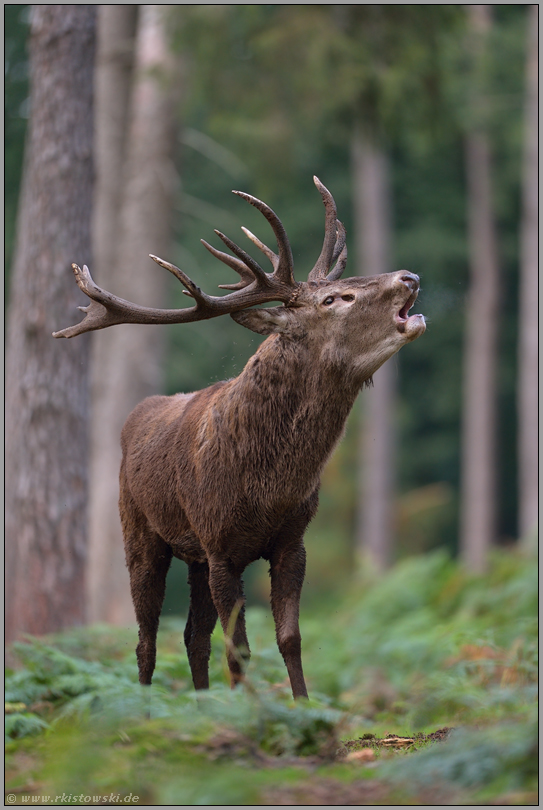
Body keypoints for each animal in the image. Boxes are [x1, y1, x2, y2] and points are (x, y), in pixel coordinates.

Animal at [54, 178, 424, 700]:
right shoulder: (220, 546)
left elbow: (289, 638)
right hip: (140, 532)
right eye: (335, 300)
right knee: (146, 640)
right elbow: (240, 649)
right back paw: (145, 705)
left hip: (193, 556)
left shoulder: (291, 541)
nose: (410, 276)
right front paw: (248, 710)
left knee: (192, 636)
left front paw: (301, 707)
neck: (268, 486)